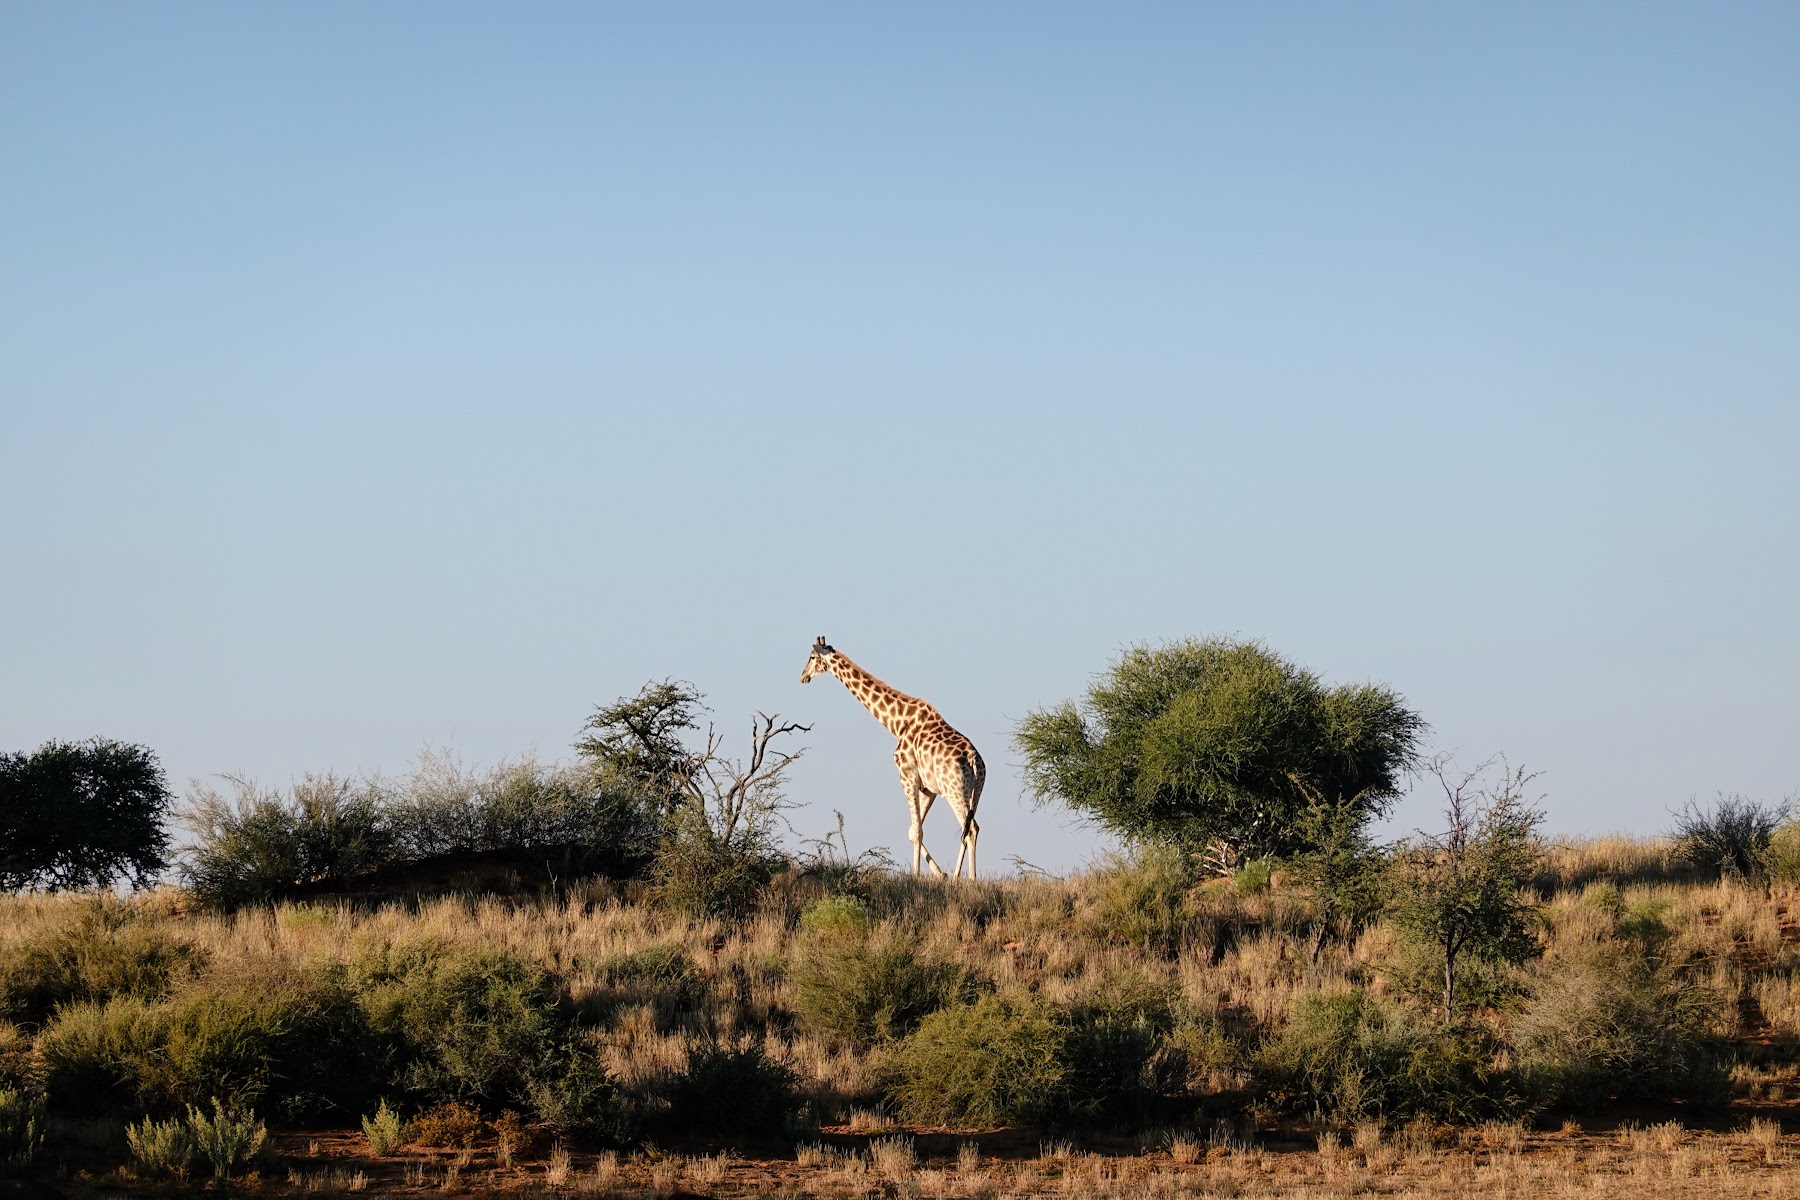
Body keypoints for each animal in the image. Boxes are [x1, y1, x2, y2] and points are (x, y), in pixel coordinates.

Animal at [800, 636, 985, 879]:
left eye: (812, 657)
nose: (803, 676)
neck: (897, 722)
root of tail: (975, 762)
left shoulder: (907, 776)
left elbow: (917, 831)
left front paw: (915, 876)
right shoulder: (929, 788)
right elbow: (912, 830)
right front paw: (940, 875)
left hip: (955, 791)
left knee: (969, 828)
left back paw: (970, 879)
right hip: (975, 793)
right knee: (972, 827)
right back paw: (956, 877)